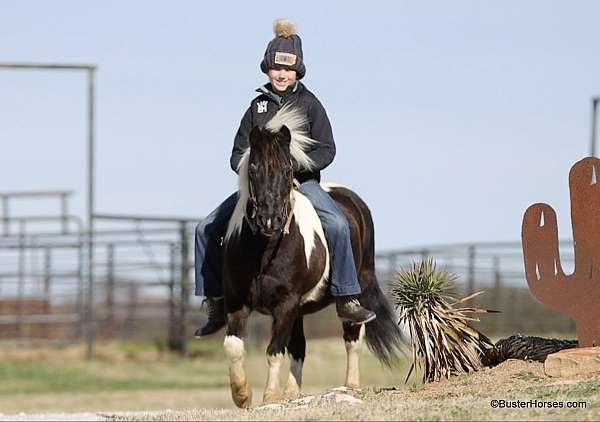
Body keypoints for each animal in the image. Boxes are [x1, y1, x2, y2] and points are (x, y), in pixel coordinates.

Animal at [221, 103, 404, 408]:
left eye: (287, 169)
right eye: (253, 168)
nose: (270, 220)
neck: (265, 250)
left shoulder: (286, 304)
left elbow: (274, 351)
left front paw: (269, 397)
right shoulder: (238, 302)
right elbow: (234, 346)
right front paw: (242, 395)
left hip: (356, 288)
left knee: (352, 335)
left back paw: (350, 386)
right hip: (299, 310)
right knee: (299, 347)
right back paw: (292, 393)